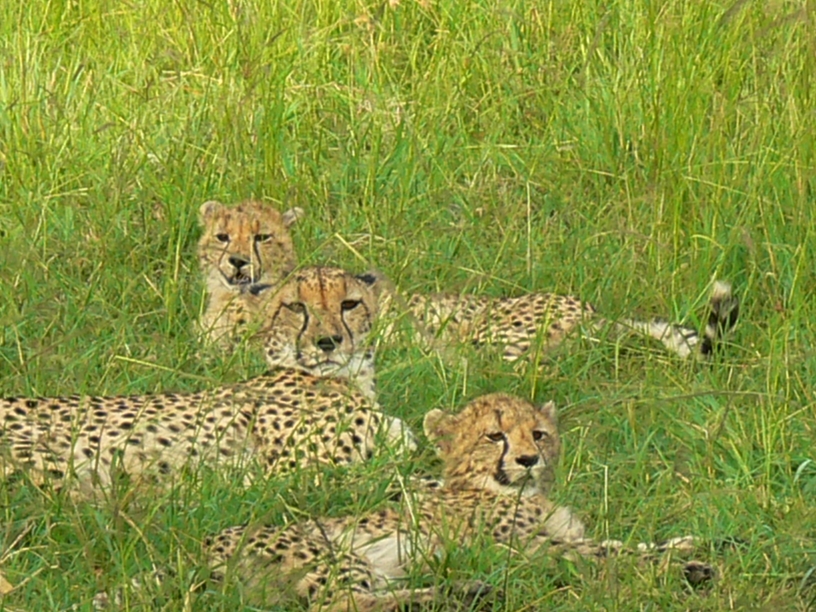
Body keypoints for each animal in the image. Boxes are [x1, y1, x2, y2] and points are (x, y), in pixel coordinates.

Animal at [204, 393, 711, 611]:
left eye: (539, 435)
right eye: (495, 436)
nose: (528, 460)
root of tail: (202, 549)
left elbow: (622, 544)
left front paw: (687, 545)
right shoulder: (522, 550)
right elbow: (603, 554)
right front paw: (685, 564)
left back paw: (463, 590)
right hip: (332, 552)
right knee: (341, 604)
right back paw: (457, 595)